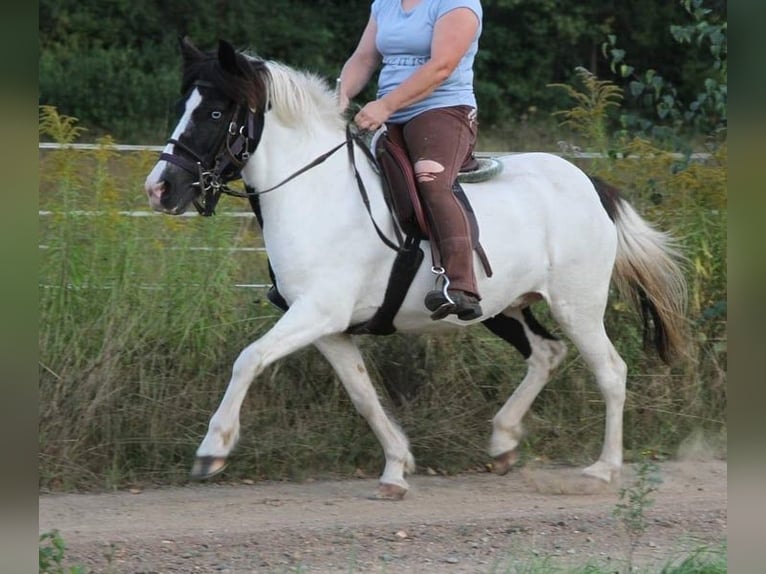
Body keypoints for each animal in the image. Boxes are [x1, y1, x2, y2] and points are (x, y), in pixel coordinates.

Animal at [144, 38, 687, 500]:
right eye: (184, 107)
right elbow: (363, 394)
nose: (159, 189)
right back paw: (503, 441)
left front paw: (213, 450)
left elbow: (249, 358)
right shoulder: (328, 328)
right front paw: (396, 468)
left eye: (215, 112)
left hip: (578, 306)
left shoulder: (317, 312)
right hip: (500, 307)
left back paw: (603, 469)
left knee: (610, 371)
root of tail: (587, 181)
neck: (315, 192)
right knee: (546, 354)